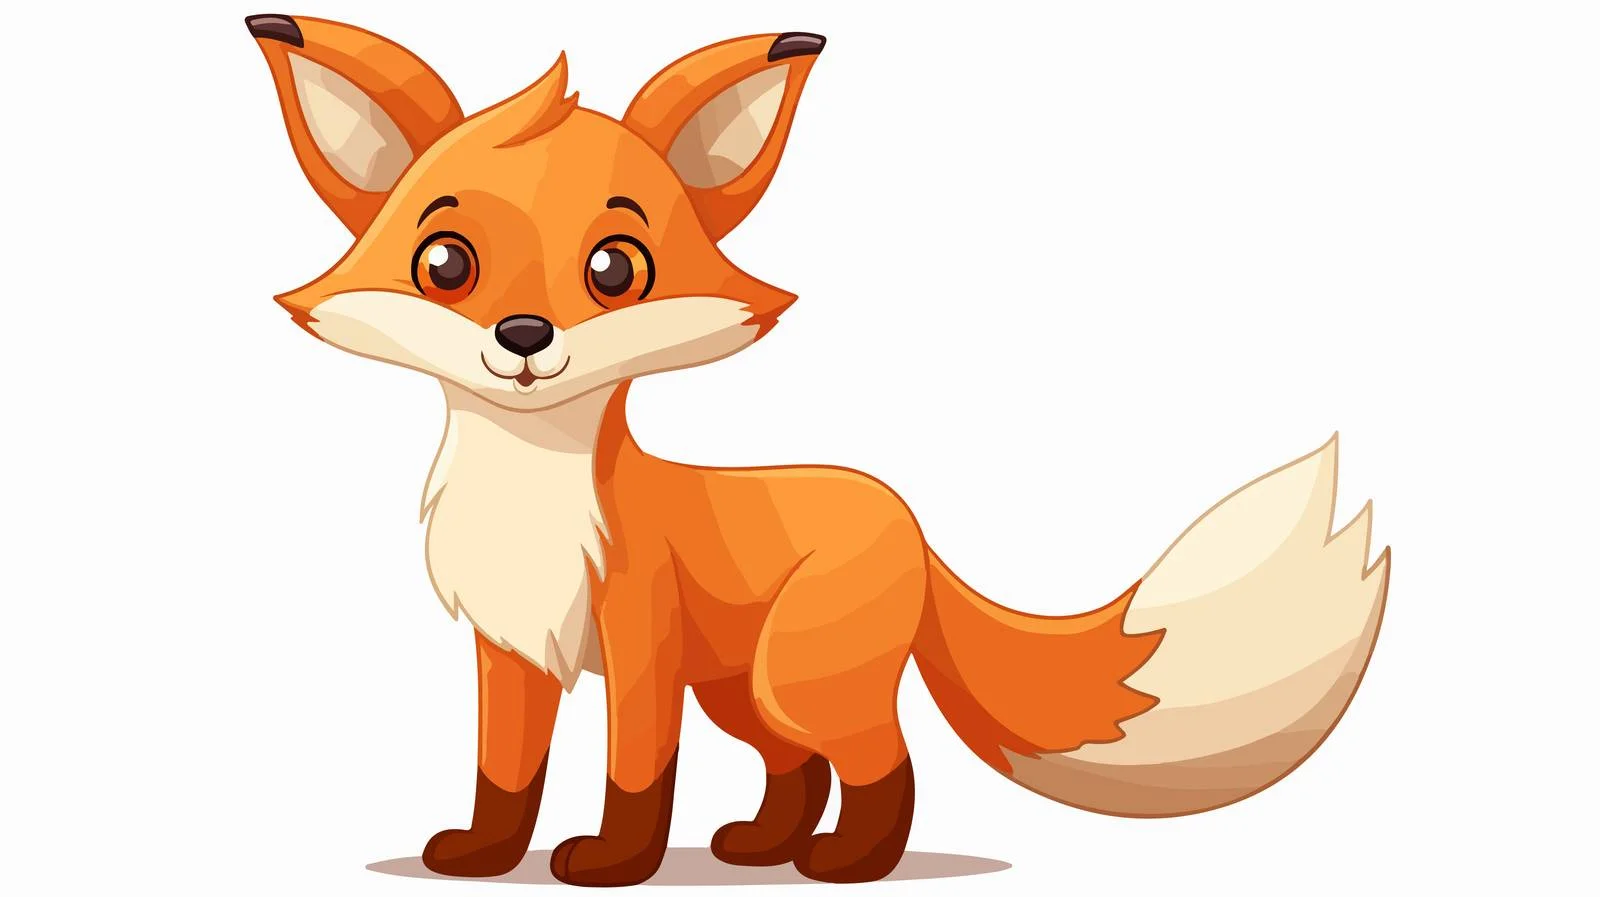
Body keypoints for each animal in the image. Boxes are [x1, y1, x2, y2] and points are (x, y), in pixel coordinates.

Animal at [246, 14, 1392, 886]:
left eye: (616, 268)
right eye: (445, 262)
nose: (524, 338)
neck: (531, 494)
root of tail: (902, 510)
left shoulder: (639, 641)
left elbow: (635, 772)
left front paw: (614, 863)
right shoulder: (511, 648)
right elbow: (505, 773)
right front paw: (484, 855)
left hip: (795, 673)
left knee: (882, 761)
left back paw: (851, 862)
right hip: (741, 687)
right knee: (794, 766)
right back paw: (763, 846)